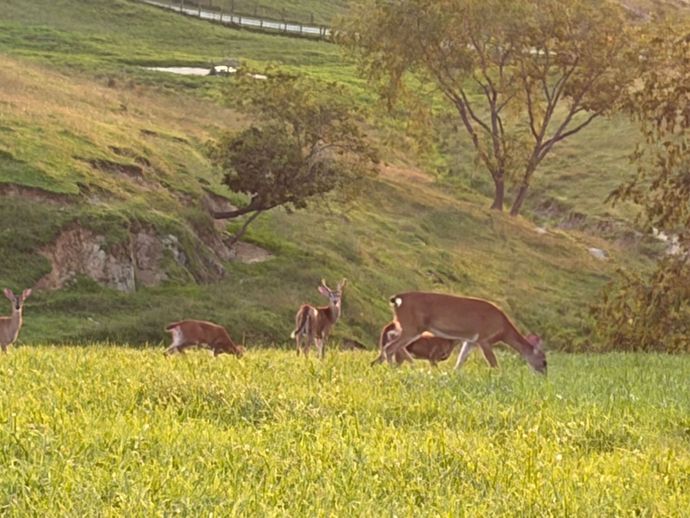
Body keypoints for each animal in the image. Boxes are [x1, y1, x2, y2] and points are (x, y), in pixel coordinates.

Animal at [381, 292, 547, 374]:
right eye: (544, 361)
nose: (544, 375)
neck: (503, 330)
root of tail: (398, 299)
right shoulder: (484, 339)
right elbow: (493, 363)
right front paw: (501, 376)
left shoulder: (471, 340)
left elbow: (461, 360)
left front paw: (454, 374)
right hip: (412, 326)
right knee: (390, 347)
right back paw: (392, 370)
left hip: (405, 326)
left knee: (391, 342)